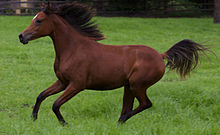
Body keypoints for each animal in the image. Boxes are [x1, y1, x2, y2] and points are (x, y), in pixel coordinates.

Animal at [18, 2, 210, 125]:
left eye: (39, 20)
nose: (21, 36)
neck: (73, 49)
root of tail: (160, 55)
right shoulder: (63, 82)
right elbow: (41, 95)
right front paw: (33, 118)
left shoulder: (77, 85)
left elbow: (56, 104)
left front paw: (64, 123)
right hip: (129, 87)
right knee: (128, 106)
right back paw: (119, 123)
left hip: (137, 85)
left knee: (145, 104)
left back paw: (121, 121)